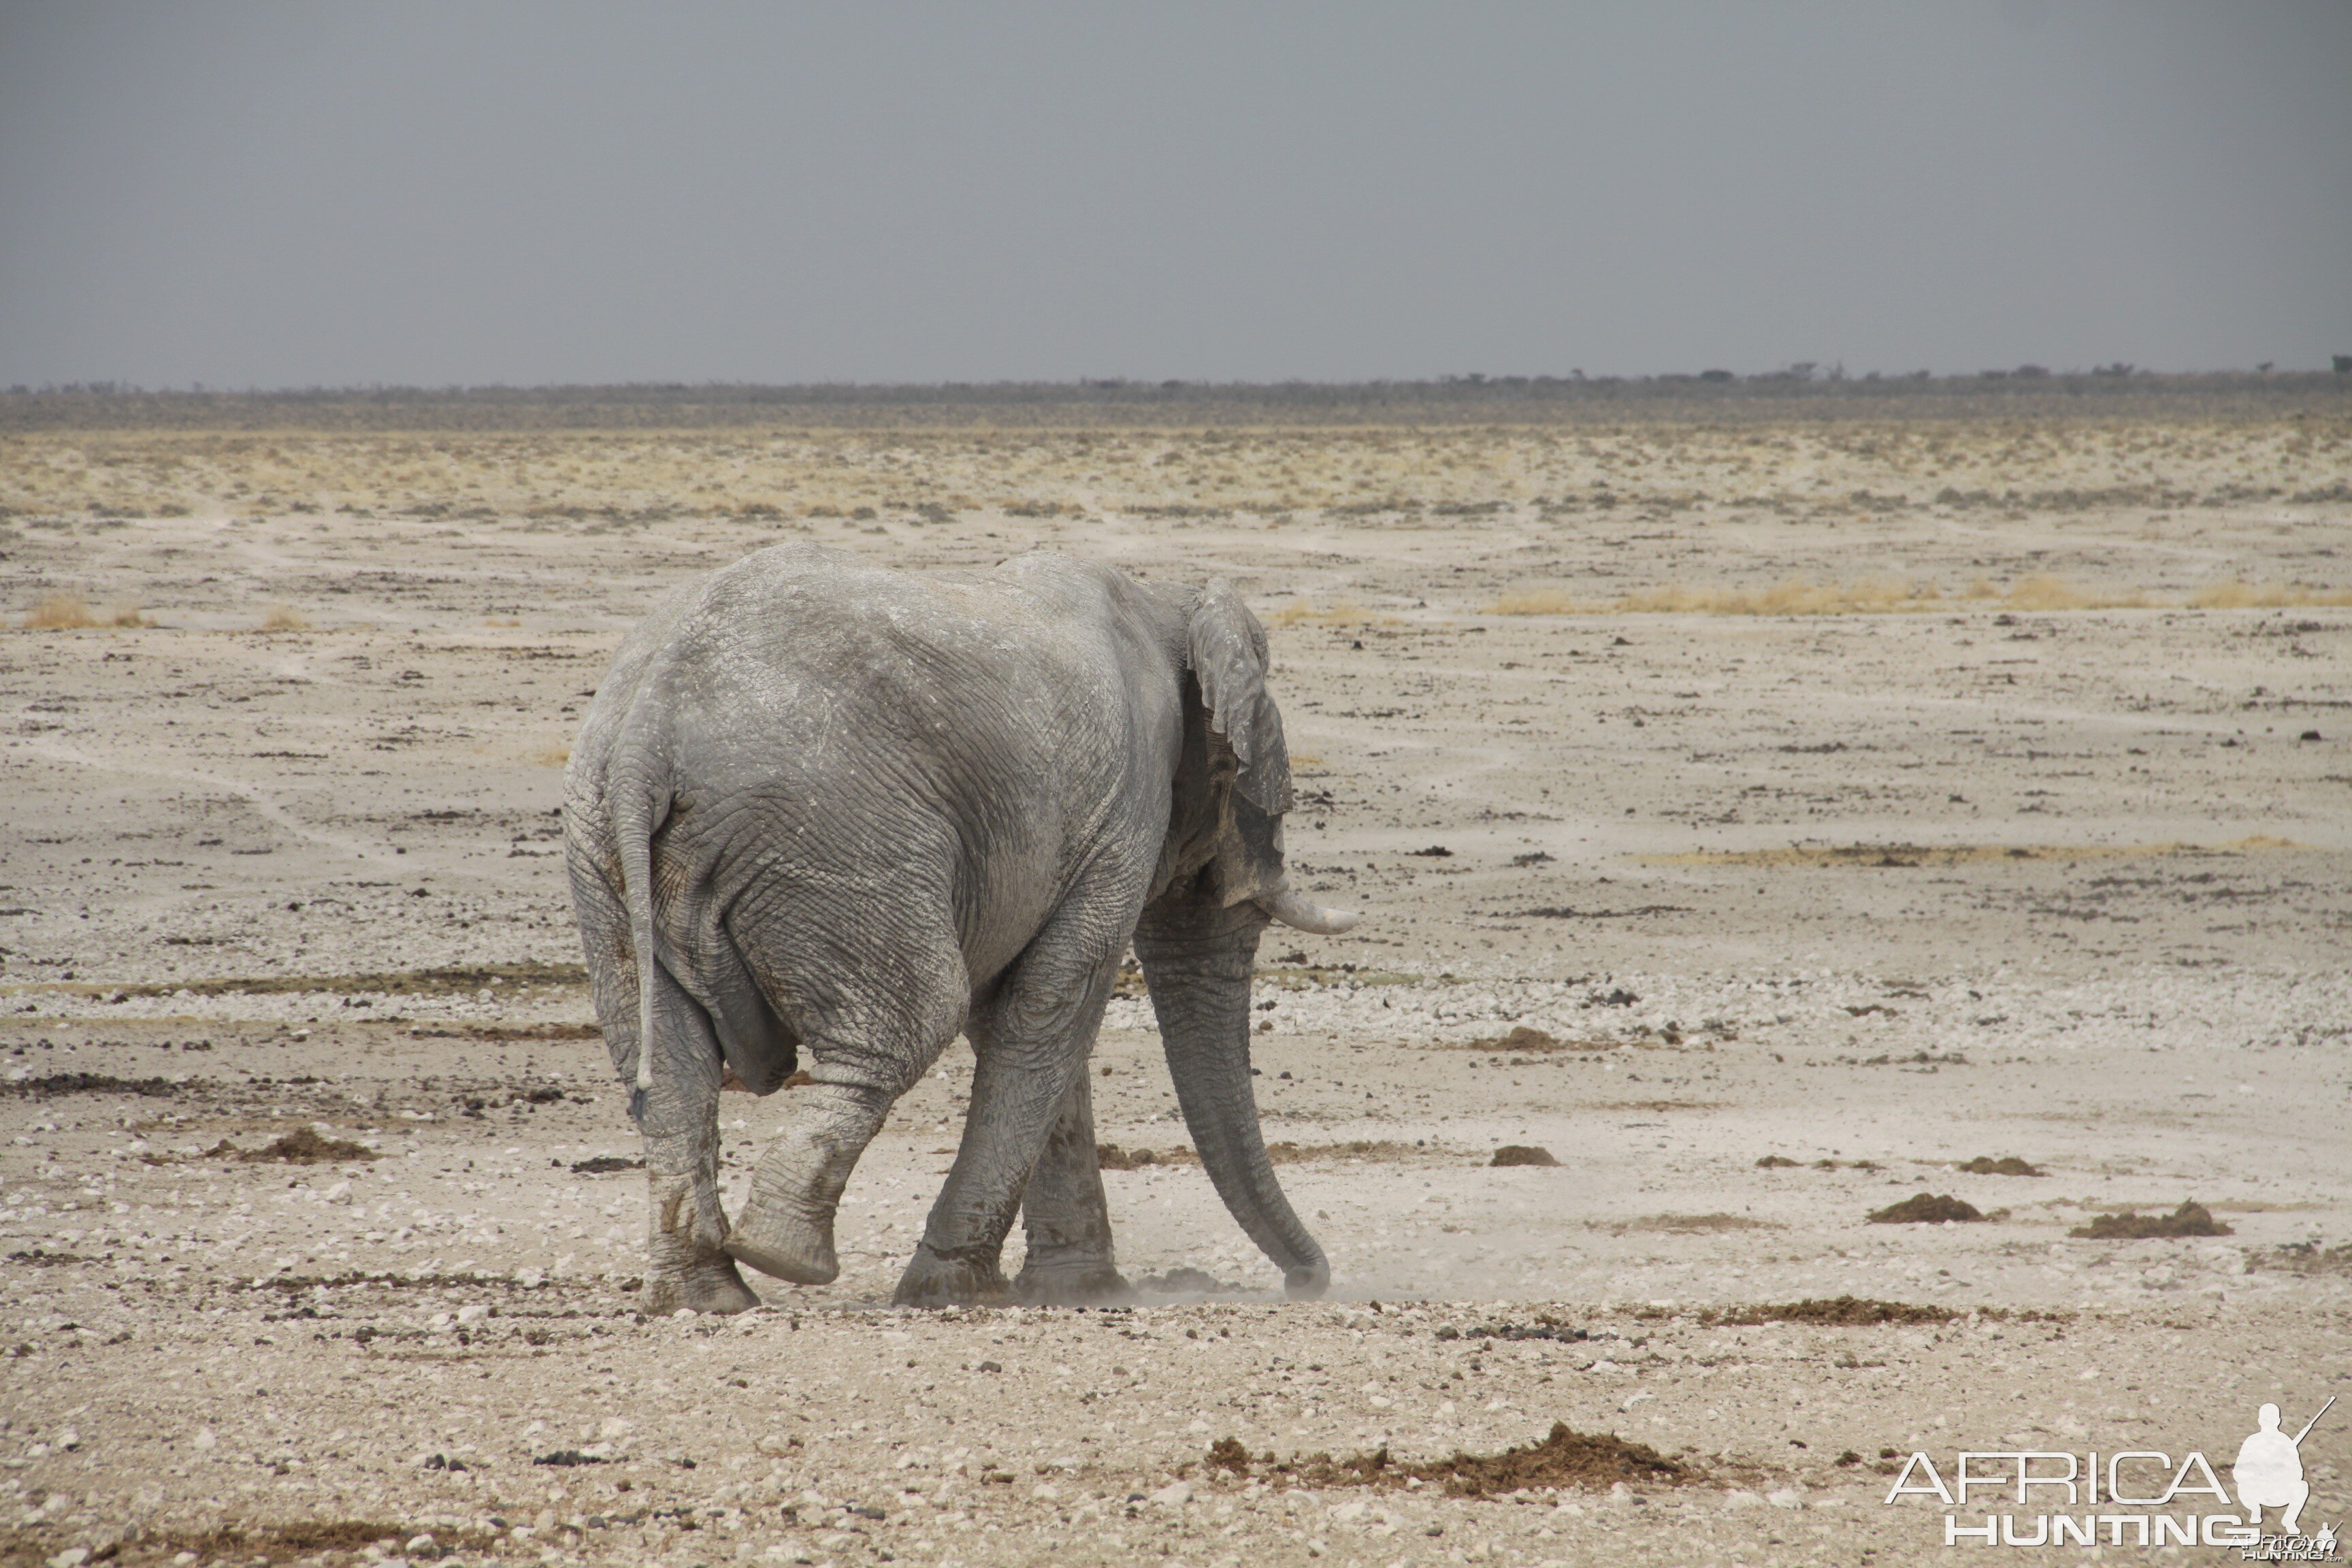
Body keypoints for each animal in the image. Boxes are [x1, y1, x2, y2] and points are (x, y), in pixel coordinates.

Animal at [561, 545, 1364, 1316]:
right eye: (1237, 779)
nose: (1307, 1281)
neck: (1169, 597)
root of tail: (646, 732)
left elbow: (1024, 1020)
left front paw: (1080, 1290)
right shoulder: (1123, 811)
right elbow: (1052, 1006)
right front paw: (961, 1290)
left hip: (602, 846)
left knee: (669, 1066)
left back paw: (708, 1296)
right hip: (838, 837)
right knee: (910, 1021)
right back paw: (785, 1255)